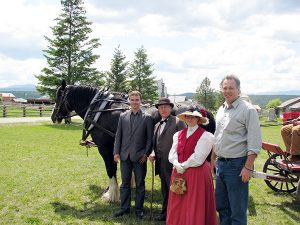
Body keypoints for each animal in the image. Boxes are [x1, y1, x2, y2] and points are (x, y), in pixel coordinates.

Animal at [52, 80, 216, 202]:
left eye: (59, 96)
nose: (54, 116)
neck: (99, 109)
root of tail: (201, 108)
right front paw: (127, 186)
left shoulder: (105, 148)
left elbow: (110, 170)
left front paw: (112, 195)